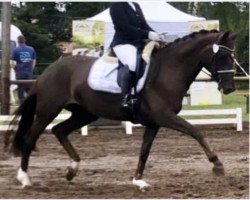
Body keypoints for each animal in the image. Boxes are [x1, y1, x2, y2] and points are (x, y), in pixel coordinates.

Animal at [5, 29, 236, 189]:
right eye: (223, 57)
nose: (229, 88)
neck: (168, 71)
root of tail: (49, 70)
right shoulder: (165, 116)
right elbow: (196, 131)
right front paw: (217, 165)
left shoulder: (154, 123)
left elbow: (144, 151)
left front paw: (138, 181)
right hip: (48, 110)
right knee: (31, 138)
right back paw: (24, 178)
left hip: (85, 113)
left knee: (59, 130)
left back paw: (72, 169)